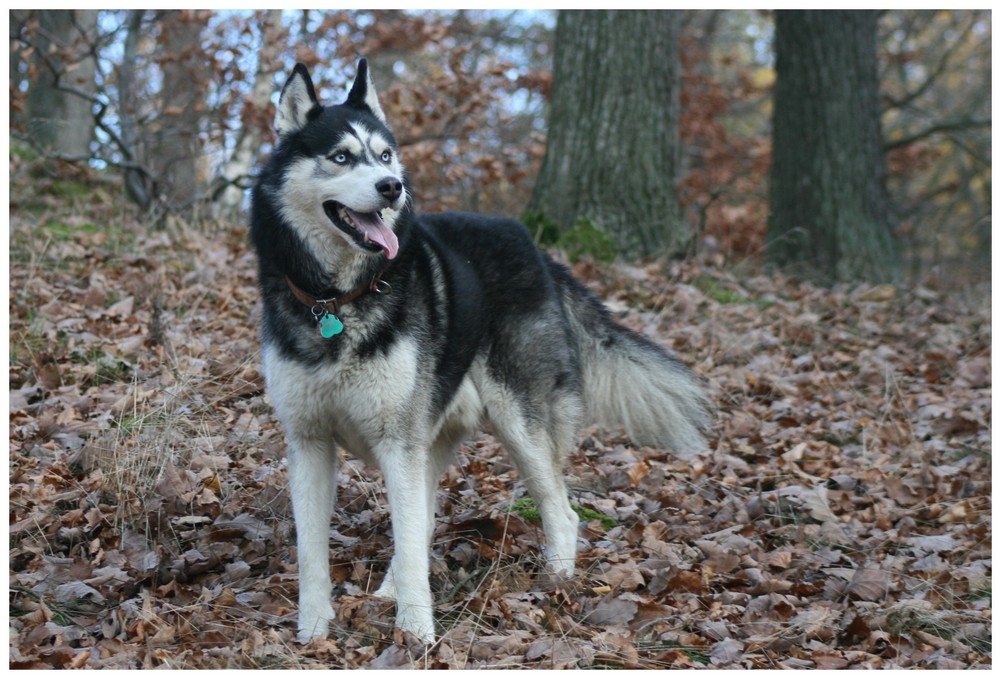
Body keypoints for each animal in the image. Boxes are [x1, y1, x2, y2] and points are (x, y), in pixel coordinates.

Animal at [250, 61, 712, 644]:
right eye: (341, 157)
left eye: (385, 155)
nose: (392, 188)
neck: (336, 300)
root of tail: (536, 248)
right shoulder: (309, 442)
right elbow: (314, 552)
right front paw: (313, 631)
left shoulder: (397, 442)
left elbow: (411, 543)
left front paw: (417, 637)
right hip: (435, 433)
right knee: (423, 522)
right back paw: (390, 589)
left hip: (518, 425)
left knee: (560, 512)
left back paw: (555, 583)